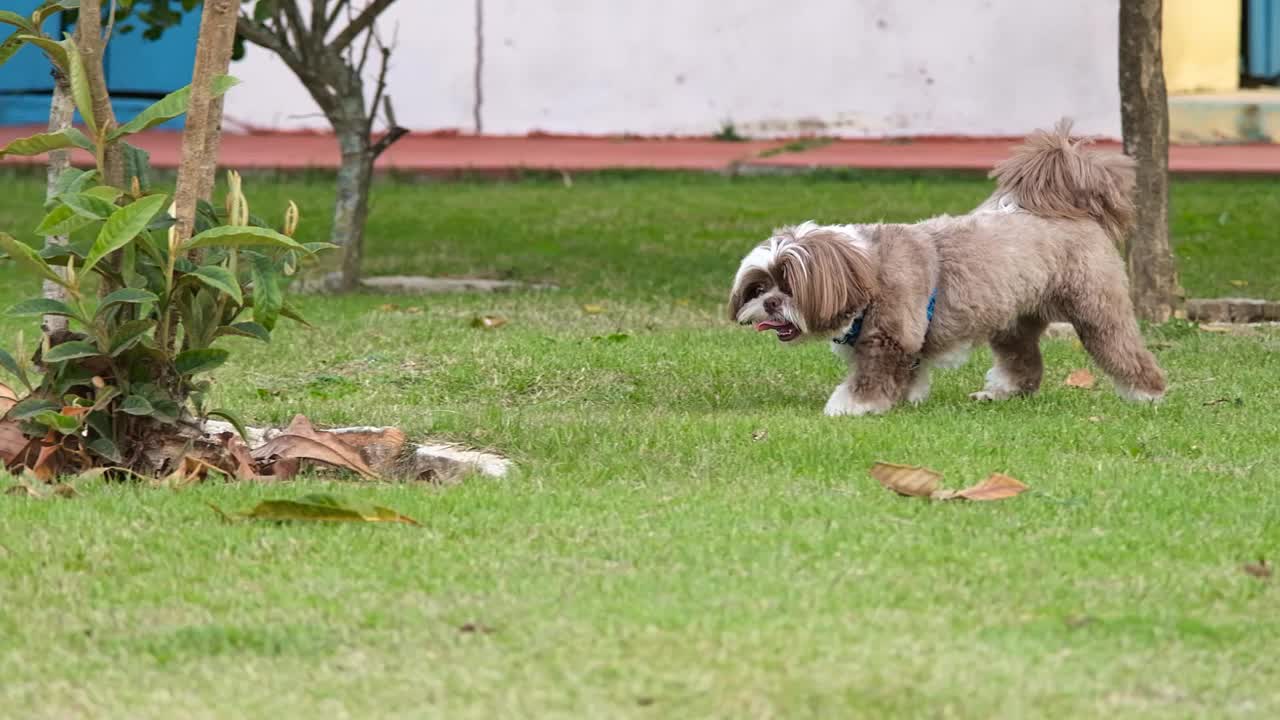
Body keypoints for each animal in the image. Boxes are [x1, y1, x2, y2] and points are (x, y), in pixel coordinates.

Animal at [727, 118, 1167, 415]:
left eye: (788, 283)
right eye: (759, 287)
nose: (770, 303)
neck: (866, 270)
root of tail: (1074, 210)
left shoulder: (888, 336)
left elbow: (872, 377)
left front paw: (851, 406)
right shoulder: (905, 341)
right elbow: (907, 371)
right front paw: (904, 398)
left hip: (1095, 308)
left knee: (1121, 347)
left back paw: (1149, 393)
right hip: (1013, 319)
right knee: (1023, 362)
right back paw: (1001, 392)